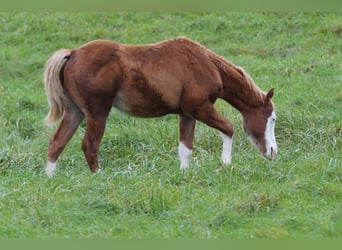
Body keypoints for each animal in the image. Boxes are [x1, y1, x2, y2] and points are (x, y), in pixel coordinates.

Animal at [43, 37, 278, 178]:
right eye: (272, 118)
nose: (273, 152)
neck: (206, 64)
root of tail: (73, 53)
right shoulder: (200, 108)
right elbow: (228, 128)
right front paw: (226, 164)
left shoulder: (187, 114)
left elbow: (185, 148)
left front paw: (184, 174)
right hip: (97, 112)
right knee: (90, 145)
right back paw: (98, 177)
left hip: (76, 111)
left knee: (57, 142)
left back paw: (50, 178)